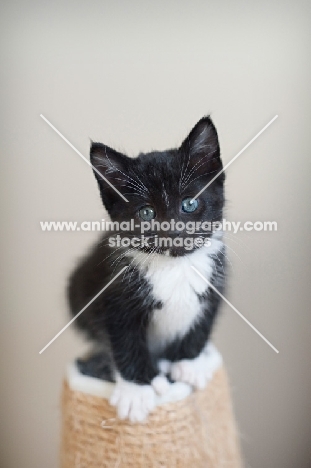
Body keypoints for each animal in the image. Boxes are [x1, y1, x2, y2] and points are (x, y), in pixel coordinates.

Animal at [67, 116, 227, 420]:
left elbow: (202, 323)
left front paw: (189, 364)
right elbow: (125, 341)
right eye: (146, 213)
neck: (174, 265)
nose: (173, 232)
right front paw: (137, 391)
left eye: (189, 203)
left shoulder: (216, 280)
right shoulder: (114, 297)